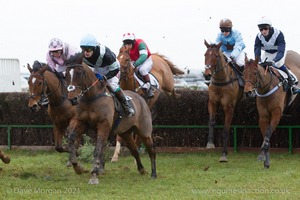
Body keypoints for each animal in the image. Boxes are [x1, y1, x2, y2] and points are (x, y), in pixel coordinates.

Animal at [65, 53, 157, 184]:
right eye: (66, 74)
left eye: (79, 73)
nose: (72, 99)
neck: (91, 97)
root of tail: (141, 99)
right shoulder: (81, 122)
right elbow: (71, 138)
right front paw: (78, 167)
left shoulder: (103, 125)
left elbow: (98, 149)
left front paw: (94, 174)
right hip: (126, 133)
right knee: (134, 150)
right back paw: (142, 169)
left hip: (144, 132)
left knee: (151, 150)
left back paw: (154, 173)